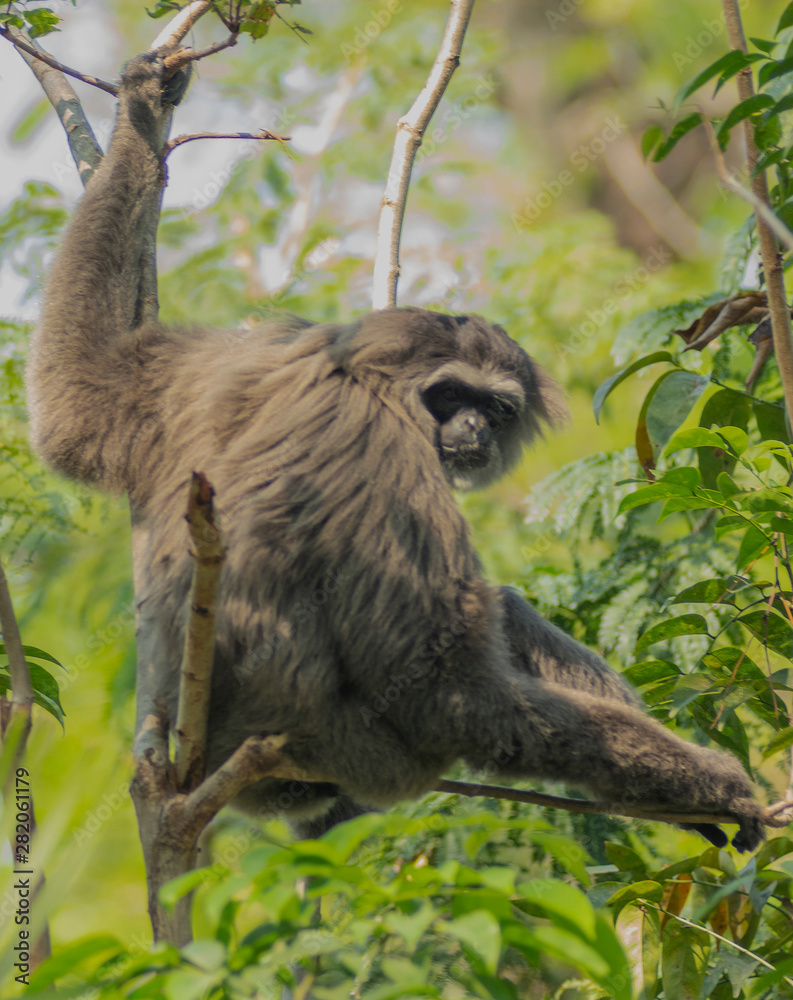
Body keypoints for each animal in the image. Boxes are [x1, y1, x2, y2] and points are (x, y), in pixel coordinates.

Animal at [27, 52, 766, 853]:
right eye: (449, 397)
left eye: (496, 408)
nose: (474, 429)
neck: (350, 370)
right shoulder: (383, 452)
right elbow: (445, 694)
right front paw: (711, 788)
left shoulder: (247, 353)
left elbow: (76, 406)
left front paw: (143, 107)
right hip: (347, 750)